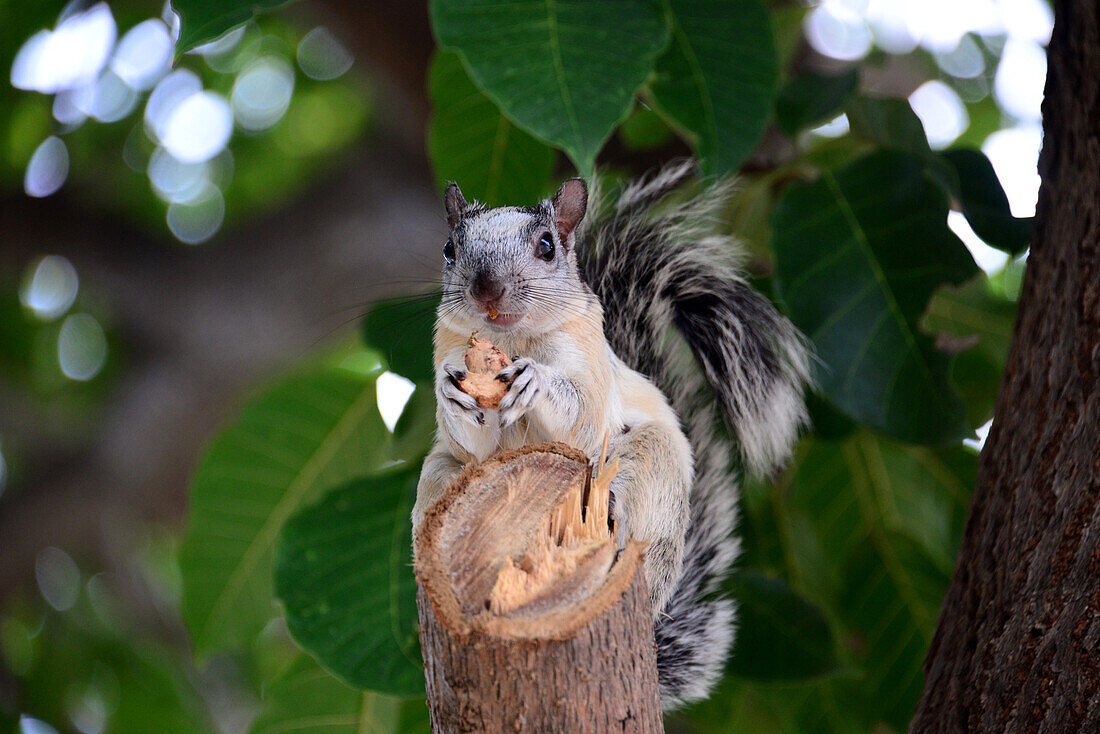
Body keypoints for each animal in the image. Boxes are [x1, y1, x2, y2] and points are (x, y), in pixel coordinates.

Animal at [411, 161, 809, 713]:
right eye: (450, 248)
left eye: (547, 245)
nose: (486, 289)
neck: (512, 340)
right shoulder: (449, 353)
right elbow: (474, 443)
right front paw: (453, 391)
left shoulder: (591, 364)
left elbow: (581, 416)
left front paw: (536, 381)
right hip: (438, 479)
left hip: (652, 462)